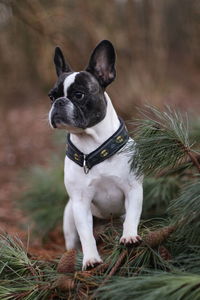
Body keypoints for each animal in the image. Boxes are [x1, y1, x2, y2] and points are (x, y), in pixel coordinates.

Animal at [47, 39, 143, 270]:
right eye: (51, 96)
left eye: (78, 95)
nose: (58, 102)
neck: (93, 147)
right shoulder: (80, 203)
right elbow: (86, 234)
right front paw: (91, 259)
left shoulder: (133, 190)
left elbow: (132, 216)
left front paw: (129, 236)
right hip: (69, 215)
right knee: (74, 240)